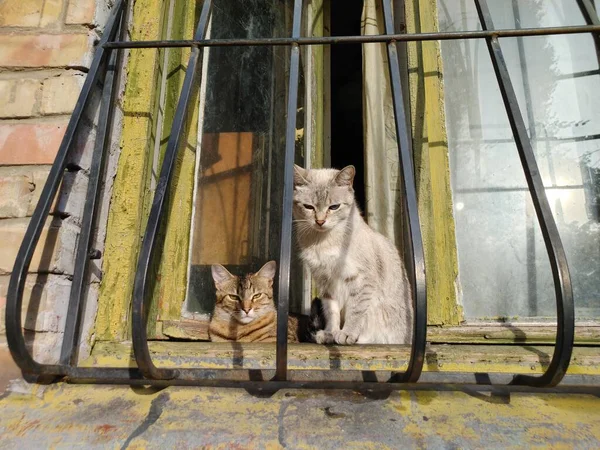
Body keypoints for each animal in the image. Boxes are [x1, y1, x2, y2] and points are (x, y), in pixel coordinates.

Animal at [292, 165, 414, 344]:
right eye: (309, 207)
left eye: (334, 207)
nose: (320, 221)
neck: (322, 241)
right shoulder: (326, 283)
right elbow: (331, 313)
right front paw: (330, 333)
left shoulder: (361, 280)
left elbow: (355, 311)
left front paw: (346, 334)